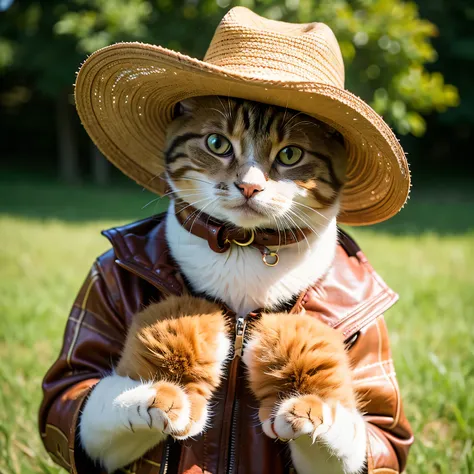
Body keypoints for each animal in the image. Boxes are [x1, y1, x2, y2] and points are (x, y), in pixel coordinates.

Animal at [78, 97, 366, 474]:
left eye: (290, 154)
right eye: (217, 144)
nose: (250, 187)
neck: (244, 247)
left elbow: (353, 440)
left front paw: (308, 407)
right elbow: (92, 405)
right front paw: (163, 394)